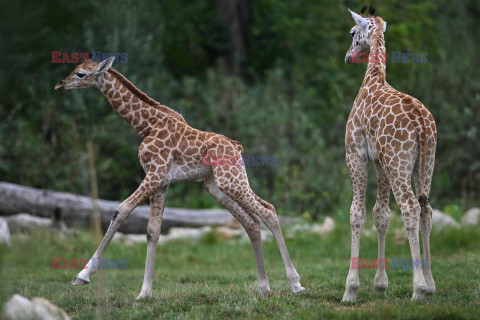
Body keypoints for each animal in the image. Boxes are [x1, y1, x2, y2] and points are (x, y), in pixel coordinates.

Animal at [55, 56, 304, 298]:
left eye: (81, 74)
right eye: (75, 68)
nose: (60, 84)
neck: (146, 125)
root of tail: (237, 147)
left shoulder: (155, 173)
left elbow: (121, 210)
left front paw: (83, 275)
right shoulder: (161, 181)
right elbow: (152, 231)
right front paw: (145, 293)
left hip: (230, 180)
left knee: (268, 211)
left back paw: (296, 284)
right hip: (216, 186)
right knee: (251, 222)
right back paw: (264, 288)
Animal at [344, 5, 436, 302]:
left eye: (353, 32)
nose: (348, 56)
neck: (373, 78)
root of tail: (421, 123)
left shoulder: (356, 155)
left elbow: (357, 213)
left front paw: (351, 289)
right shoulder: (379, 162)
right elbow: (381, 214)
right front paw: (380, 284)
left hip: (399, 162)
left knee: (409, 206)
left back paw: (418, 289)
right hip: (425, 162)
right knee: (425, 208)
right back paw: (431, 284)